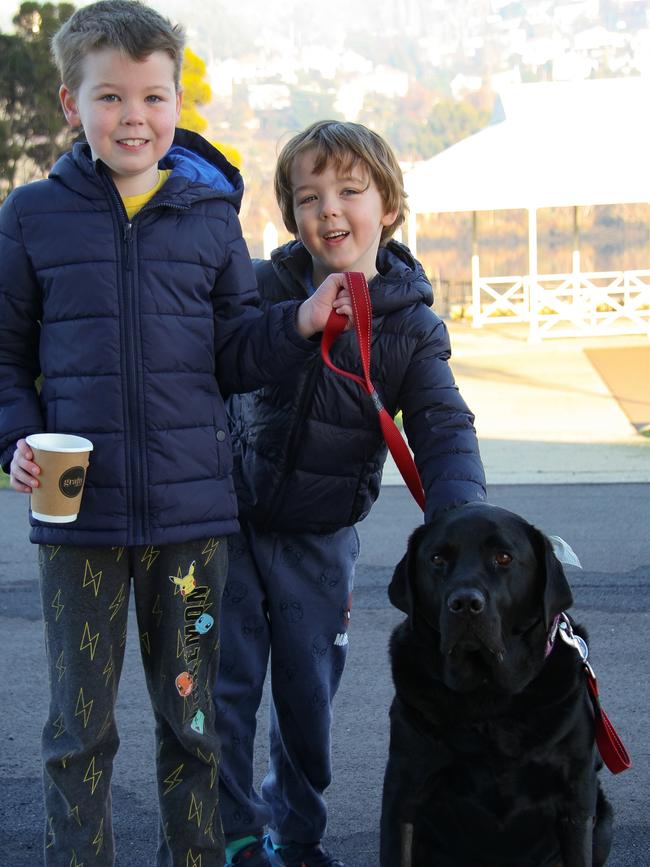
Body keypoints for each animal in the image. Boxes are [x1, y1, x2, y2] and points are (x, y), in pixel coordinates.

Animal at [378, 502, 612, 867]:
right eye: (437, 559)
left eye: (503, 558)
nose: (465, 604)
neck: (488, 699)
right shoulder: (405, 788)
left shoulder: (575, 795)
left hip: (603, 821)